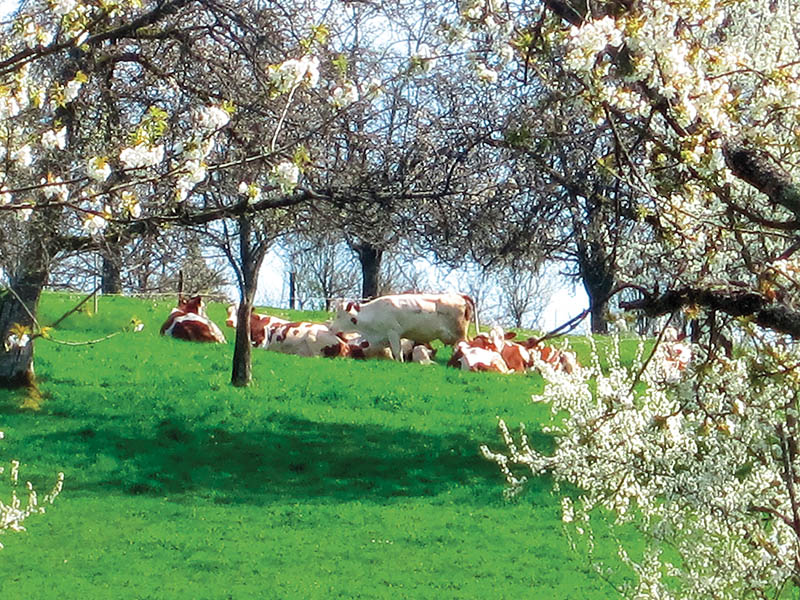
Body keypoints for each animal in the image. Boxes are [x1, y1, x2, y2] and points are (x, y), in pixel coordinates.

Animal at [326, 292, 476, 364]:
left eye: (339, 315)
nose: (331, 328)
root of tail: (458, 295)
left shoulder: (393, 333)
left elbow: (397, 351)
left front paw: (400, 362)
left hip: (460, 334)